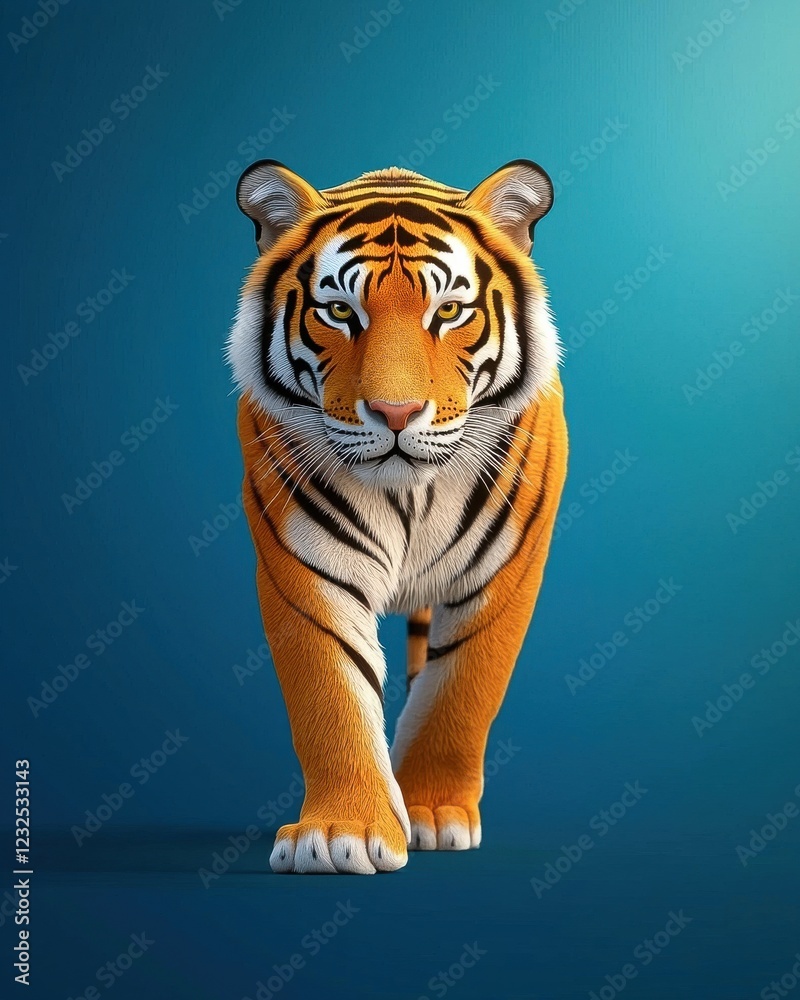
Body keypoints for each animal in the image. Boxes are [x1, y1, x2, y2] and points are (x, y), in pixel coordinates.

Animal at [226, 158, 568, 874]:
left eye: (449, 311)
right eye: (339, 310)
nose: (396, 412)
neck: (411, 495)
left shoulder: (506, 571)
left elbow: (460, 694)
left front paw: (435, 812)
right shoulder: (305, 569)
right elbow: (330, 693)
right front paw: (342, 833)